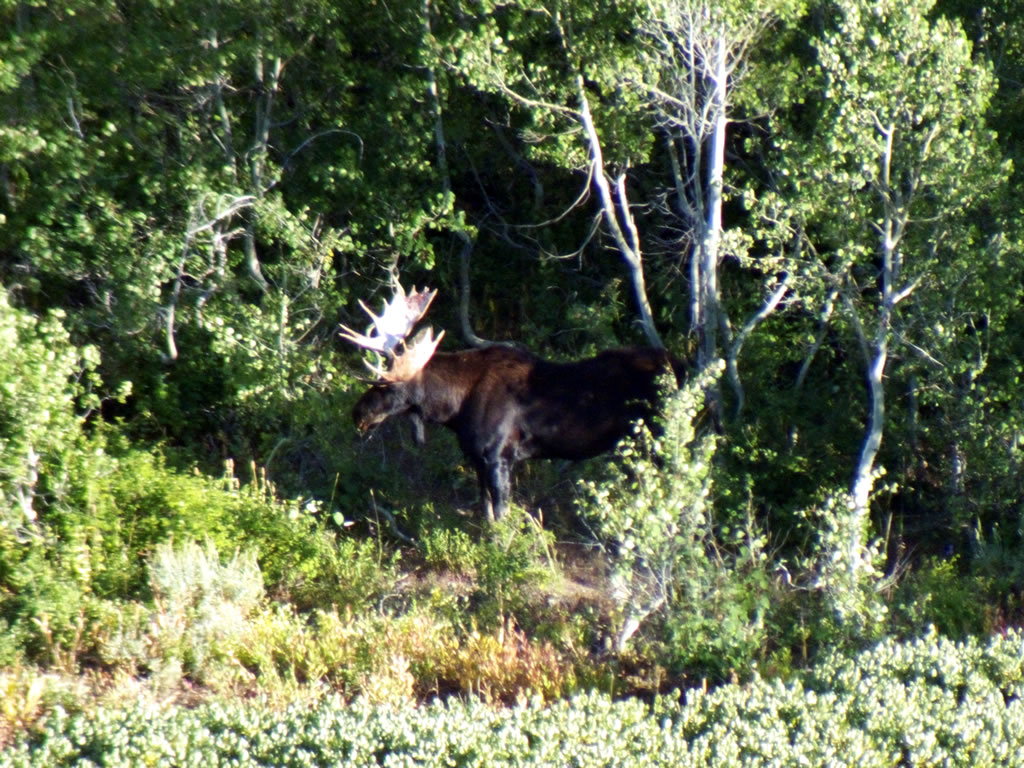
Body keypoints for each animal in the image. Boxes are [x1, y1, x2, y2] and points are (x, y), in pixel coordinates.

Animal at [342, 281, 685, 522]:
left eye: (384, 383)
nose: (358, 413)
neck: (455, 409)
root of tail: (683, 368)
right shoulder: (477, 458)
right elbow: (486, 515)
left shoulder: (499, 456)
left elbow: (501, 517)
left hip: (659, 440)